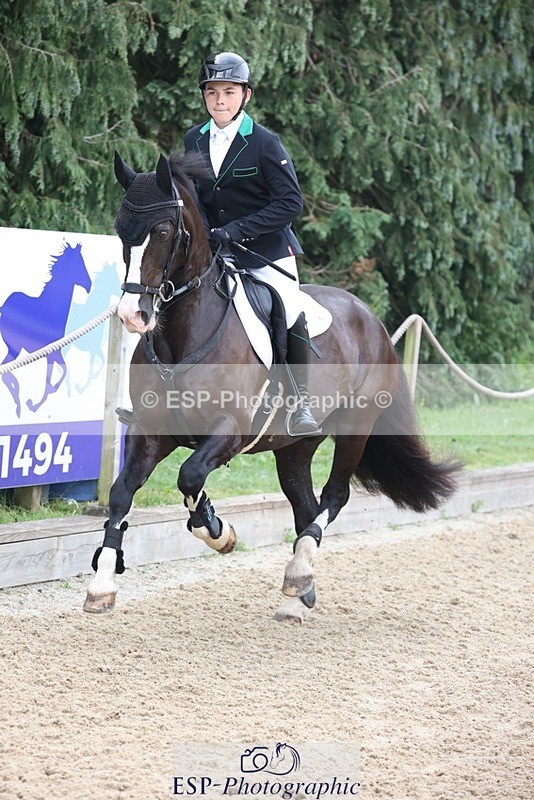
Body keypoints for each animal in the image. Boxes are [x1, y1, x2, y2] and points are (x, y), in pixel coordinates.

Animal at [0, 242, 92, 416]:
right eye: (80, 263)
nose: (89, 285)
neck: (52, 310)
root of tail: (4, 307)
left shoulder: (52, 353)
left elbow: (57, 375)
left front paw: (32, 404)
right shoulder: (53, 352)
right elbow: (54, 378)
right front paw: (33, 405)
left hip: (14, 349)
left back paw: (19, 405)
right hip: (15, 348)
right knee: (6, 372)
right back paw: (19, 403)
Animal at [84, 151, 460, 623]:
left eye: (164, 232)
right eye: (121, 230)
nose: (133, 315)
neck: (184, 334)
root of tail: (370, 317)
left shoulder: (230, 430)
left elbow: (190, 477)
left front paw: (217, 531)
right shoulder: (152, 430)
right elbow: (123, 493)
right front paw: (102, 583)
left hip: (355, 427)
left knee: (334, 496)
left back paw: (299, 574)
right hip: (295, 447)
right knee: (305, 505)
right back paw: (299, 592)